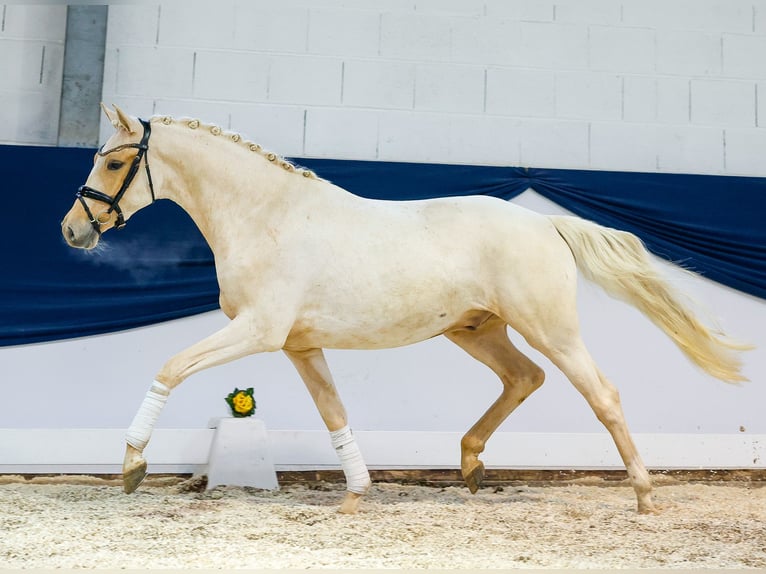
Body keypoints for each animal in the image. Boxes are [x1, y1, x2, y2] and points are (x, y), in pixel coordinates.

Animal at [61, 107, 752, 516]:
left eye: (115, 160)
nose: (73, 229)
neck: (266, 217)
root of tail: (545, 224)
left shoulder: (258, 331)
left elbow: (171, 367)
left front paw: (132, 468)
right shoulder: (299, 344)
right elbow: (334, 413)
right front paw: (355, 497)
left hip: (549, 329)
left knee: (601, 393)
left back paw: (645, 496)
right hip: (476, 332)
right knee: (523, 378)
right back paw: (470, 466)